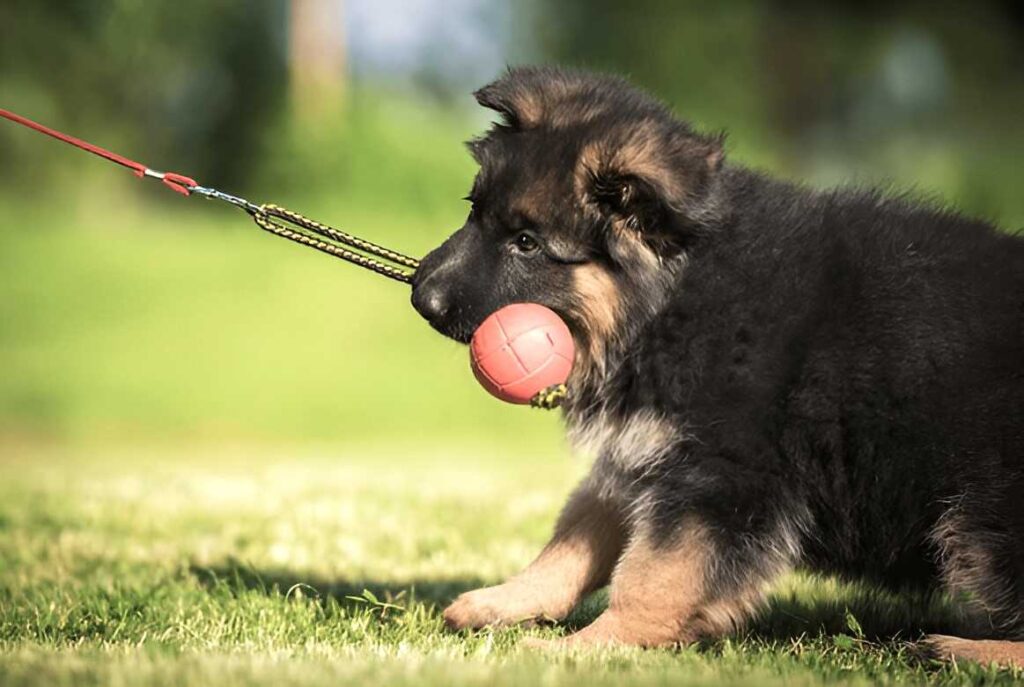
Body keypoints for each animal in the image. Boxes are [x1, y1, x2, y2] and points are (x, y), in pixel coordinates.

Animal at [409, 67, 1024, 663]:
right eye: (474, 211)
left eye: (527, 242)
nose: (421, 298)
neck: (675, 292)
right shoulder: (645, 450)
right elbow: (580, 532)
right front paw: (508, 601)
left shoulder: (720, 477)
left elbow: (653, 574)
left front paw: (592, 645)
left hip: (983, 512)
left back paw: (963, 649)